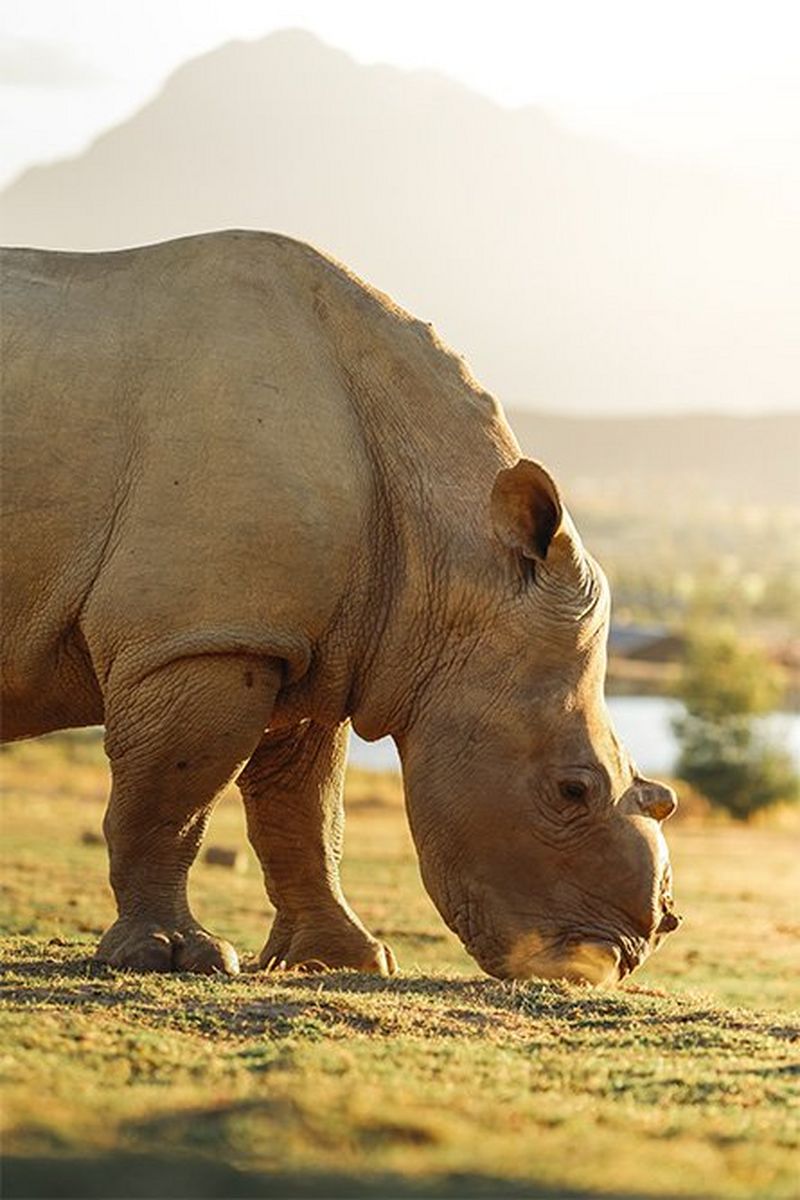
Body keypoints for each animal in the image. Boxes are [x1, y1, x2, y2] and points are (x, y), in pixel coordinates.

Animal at [1, 230, 681, 984]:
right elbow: (170, 801)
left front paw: (346, 959)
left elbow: (304, 814)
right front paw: (172, 956)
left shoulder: (304, 644)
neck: (451, 550)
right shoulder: (203, 637)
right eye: (570, 790)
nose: (612, 960)